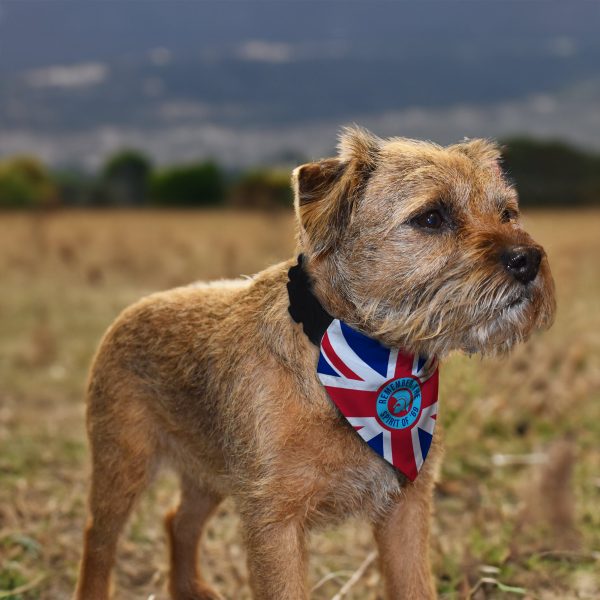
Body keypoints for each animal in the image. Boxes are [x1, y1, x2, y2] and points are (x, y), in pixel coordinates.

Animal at [72, 127, 556, 600]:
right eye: (431, 217)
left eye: (508, 213)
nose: (528, 259)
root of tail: (131, 311)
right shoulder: (275, 522)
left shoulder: (406, 508)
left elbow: (414, 586)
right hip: (123, 466)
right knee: (98, 538)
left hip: (207, 473)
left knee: (178, 520)